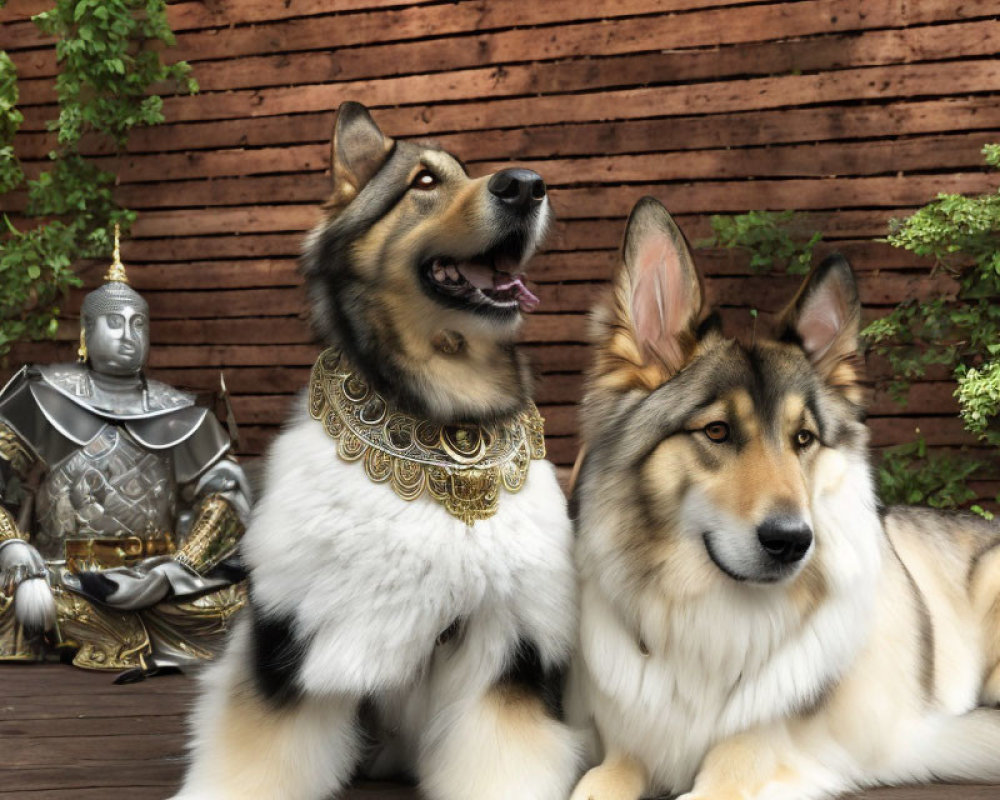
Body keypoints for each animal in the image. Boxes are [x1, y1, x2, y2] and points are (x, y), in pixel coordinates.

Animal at [171, 103, 580, 800]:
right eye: (424, 181)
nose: (527, 185)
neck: (447, 421)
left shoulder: (505, 645)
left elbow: (501, 755)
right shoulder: (297, 637)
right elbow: (262, 751)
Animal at [568, 195, 1000, 800]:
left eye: (804, 439)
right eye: (718, 431)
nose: (793, 542)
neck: (708, 622)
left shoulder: (744, 764)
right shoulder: (620, 757)